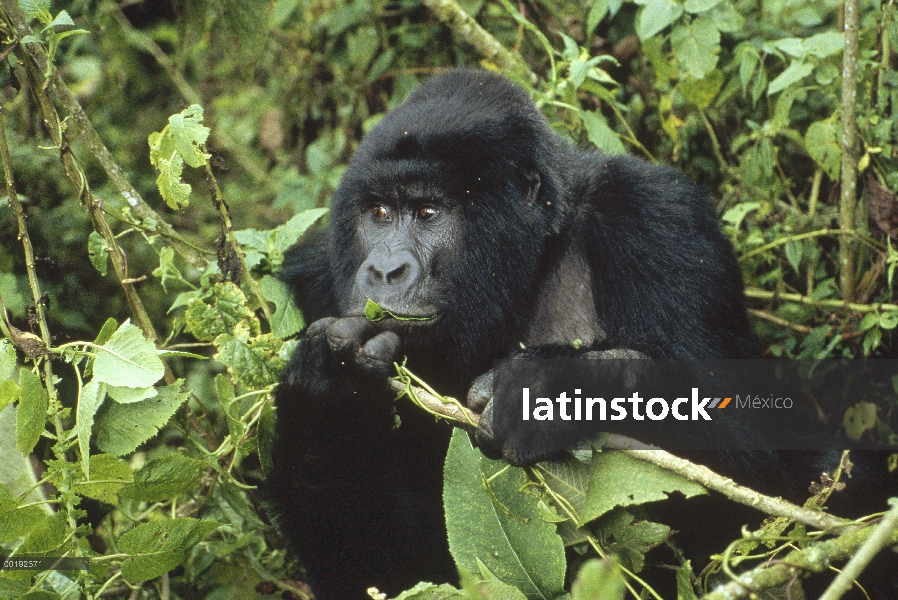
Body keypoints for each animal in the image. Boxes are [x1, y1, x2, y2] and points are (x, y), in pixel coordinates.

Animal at [264, 71, 888, 600]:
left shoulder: (658, 215)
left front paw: (558, 385)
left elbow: (761, 480)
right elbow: (383, 575)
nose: (384, 271)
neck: (533, 256)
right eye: (378, 213)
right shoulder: (316, 279)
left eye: (427, 211)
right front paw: (329, 399)